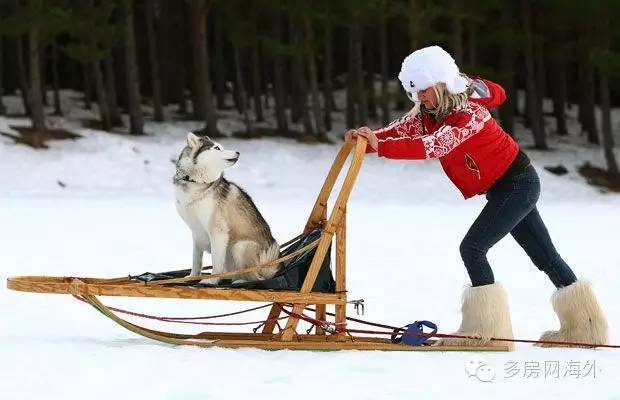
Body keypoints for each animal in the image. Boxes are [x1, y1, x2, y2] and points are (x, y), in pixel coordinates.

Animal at [174, 133, 280, 282]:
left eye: (221, 147)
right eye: (217, 148)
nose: (238, 152)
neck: (197, 183)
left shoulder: (219, 231)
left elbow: (216, 262)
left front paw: (211, 280)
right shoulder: (196, 233)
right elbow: (196, 261)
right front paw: (192, 277)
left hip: (240, 247)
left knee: (256, 278)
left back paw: (241, 280)